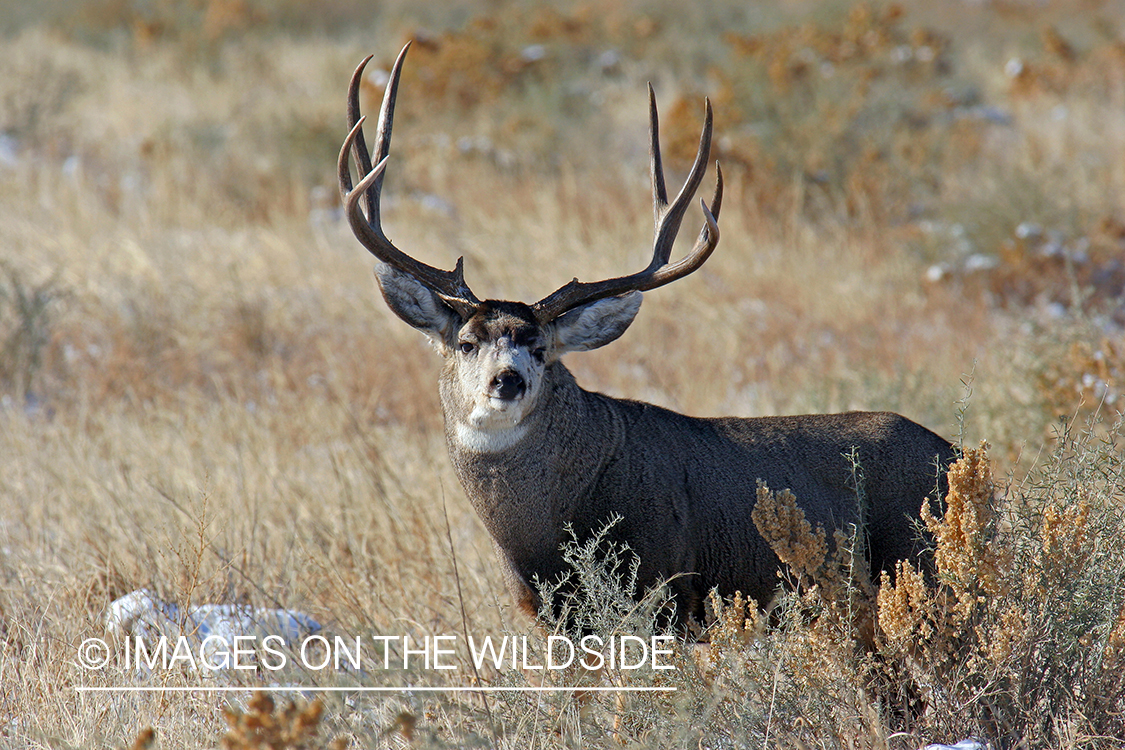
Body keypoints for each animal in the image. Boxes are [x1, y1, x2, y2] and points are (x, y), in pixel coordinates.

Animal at [338, 43, 957, 628]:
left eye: (541, 349)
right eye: (465, 343)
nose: (507, 381)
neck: (544, 535)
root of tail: (956, 456)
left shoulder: (666, 590)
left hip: (918, 566)